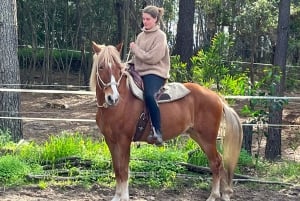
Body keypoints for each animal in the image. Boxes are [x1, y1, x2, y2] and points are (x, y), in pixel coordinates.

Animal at [89, 41, 244, 201]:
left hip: (207, 138)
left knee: (216, 162)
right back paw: (224, 194)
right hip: (198, 136)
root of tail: (216, 96)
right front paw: (117, 197)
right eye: (101, 67)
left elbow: (124, 170)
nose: (112, 98)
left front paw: (124, 197)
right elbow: (117, 169)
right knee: (218, 163)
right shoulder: (111, 141)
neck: (120, 104)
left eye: (119, 70)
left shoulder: (124, 140)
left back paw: (214, 196)